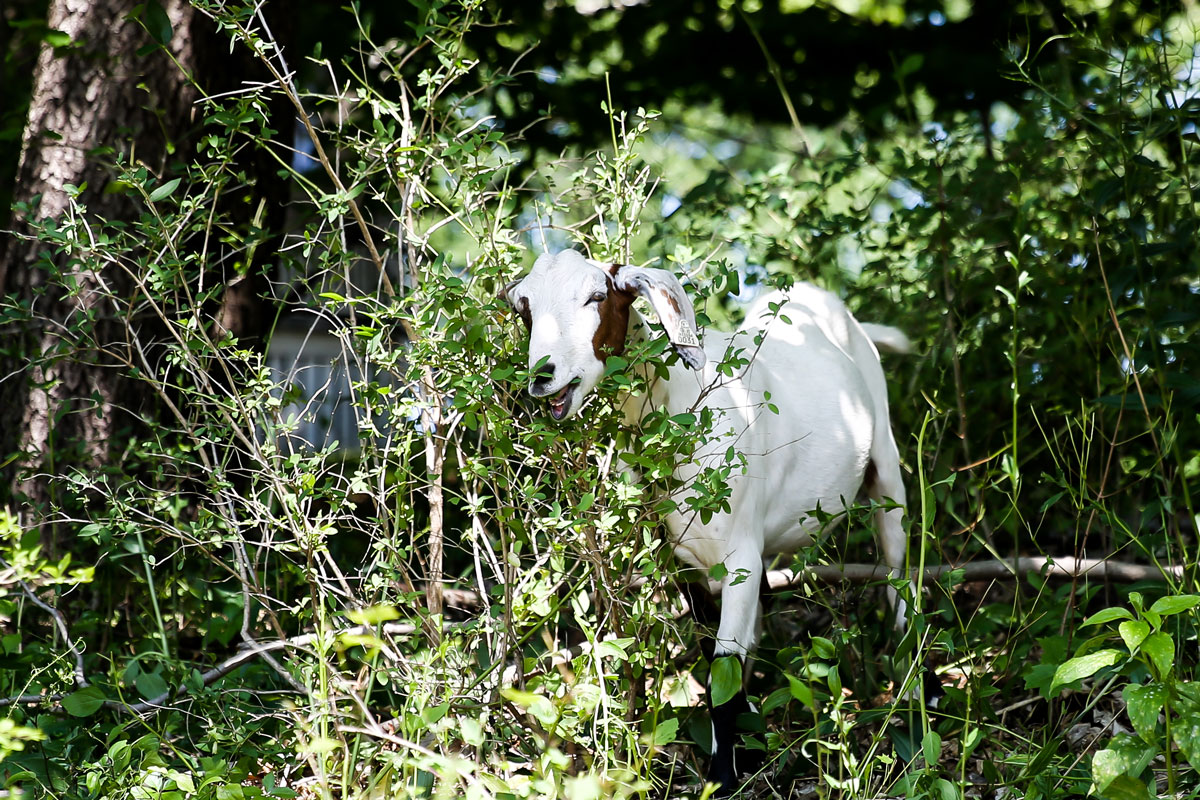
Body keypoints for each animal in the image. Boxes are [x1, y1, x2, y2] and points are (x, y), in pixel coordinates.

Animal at [502, 249, 909, 793]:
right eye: (526, 309)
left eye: (597, 295)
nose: (543, 376)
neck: (682, 410)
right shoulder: (680, 558)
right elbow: (707, 657)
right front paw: (740, 755)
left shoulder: (740, 555)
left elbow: (723, 670)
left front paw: (721, 780)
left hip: (886, 467)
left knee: (899, 576)